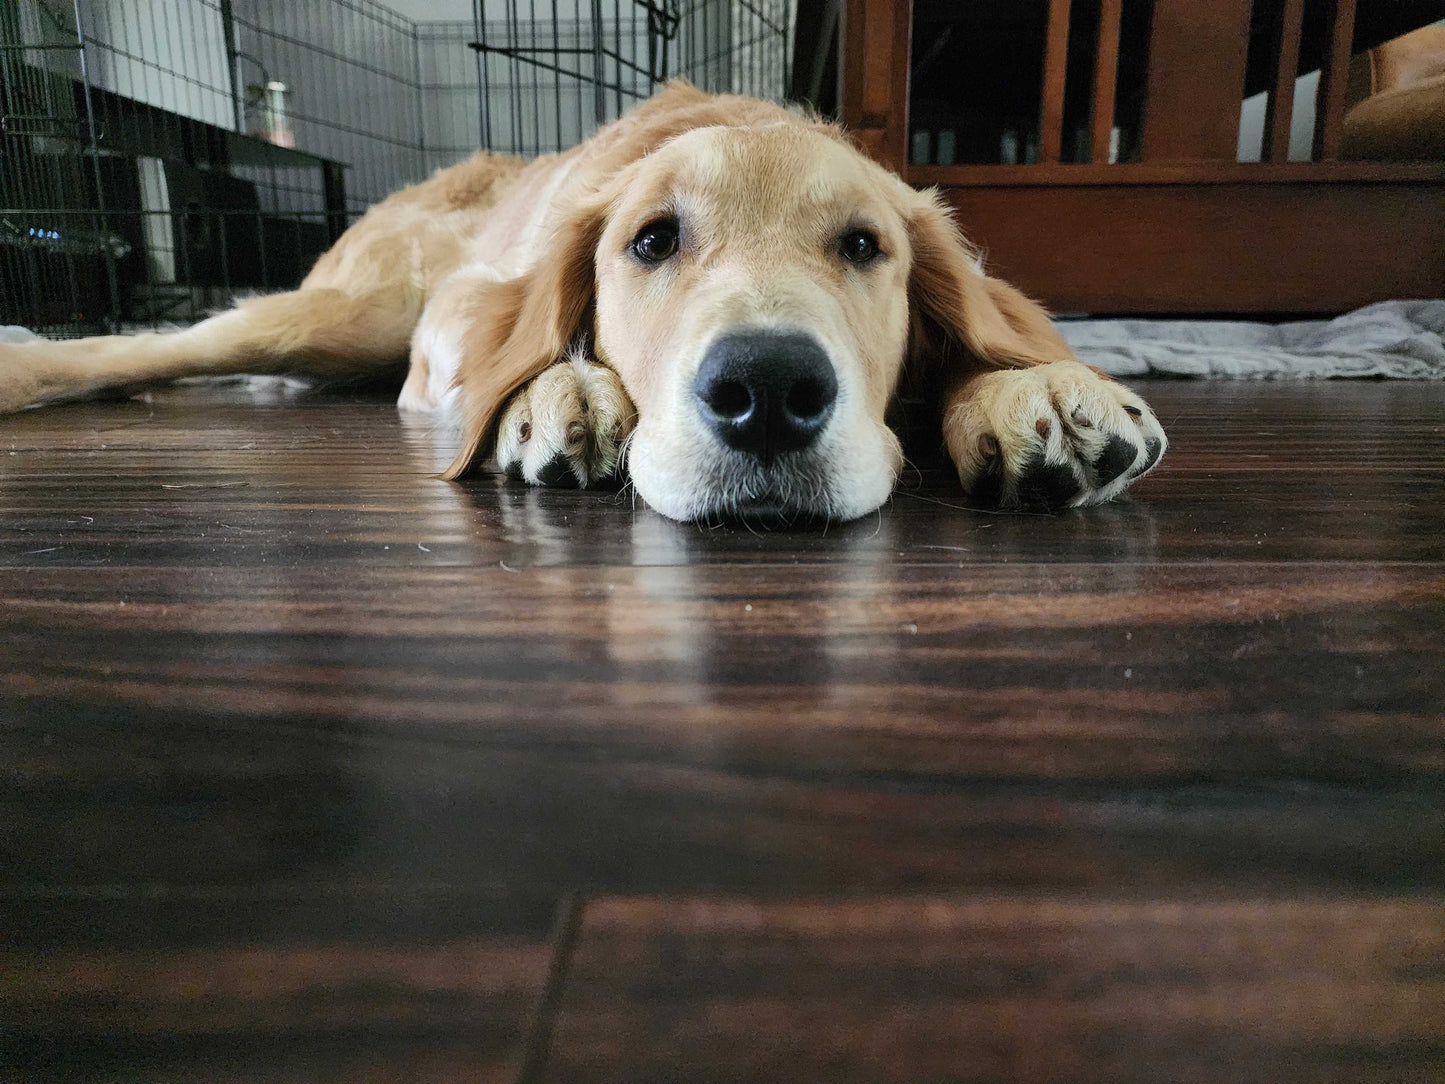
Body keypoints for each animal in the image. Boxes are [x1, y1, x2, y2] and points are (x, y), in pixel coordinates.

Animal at [0, 81, 1161, 523]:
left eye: (863, 247)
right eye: (650, 240)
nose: (767, 391)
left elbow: (984, 347)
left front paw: (1037, 392)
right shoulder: (466, 312)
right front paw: (554, 398)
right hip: (361, 313)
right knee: (165, 342)